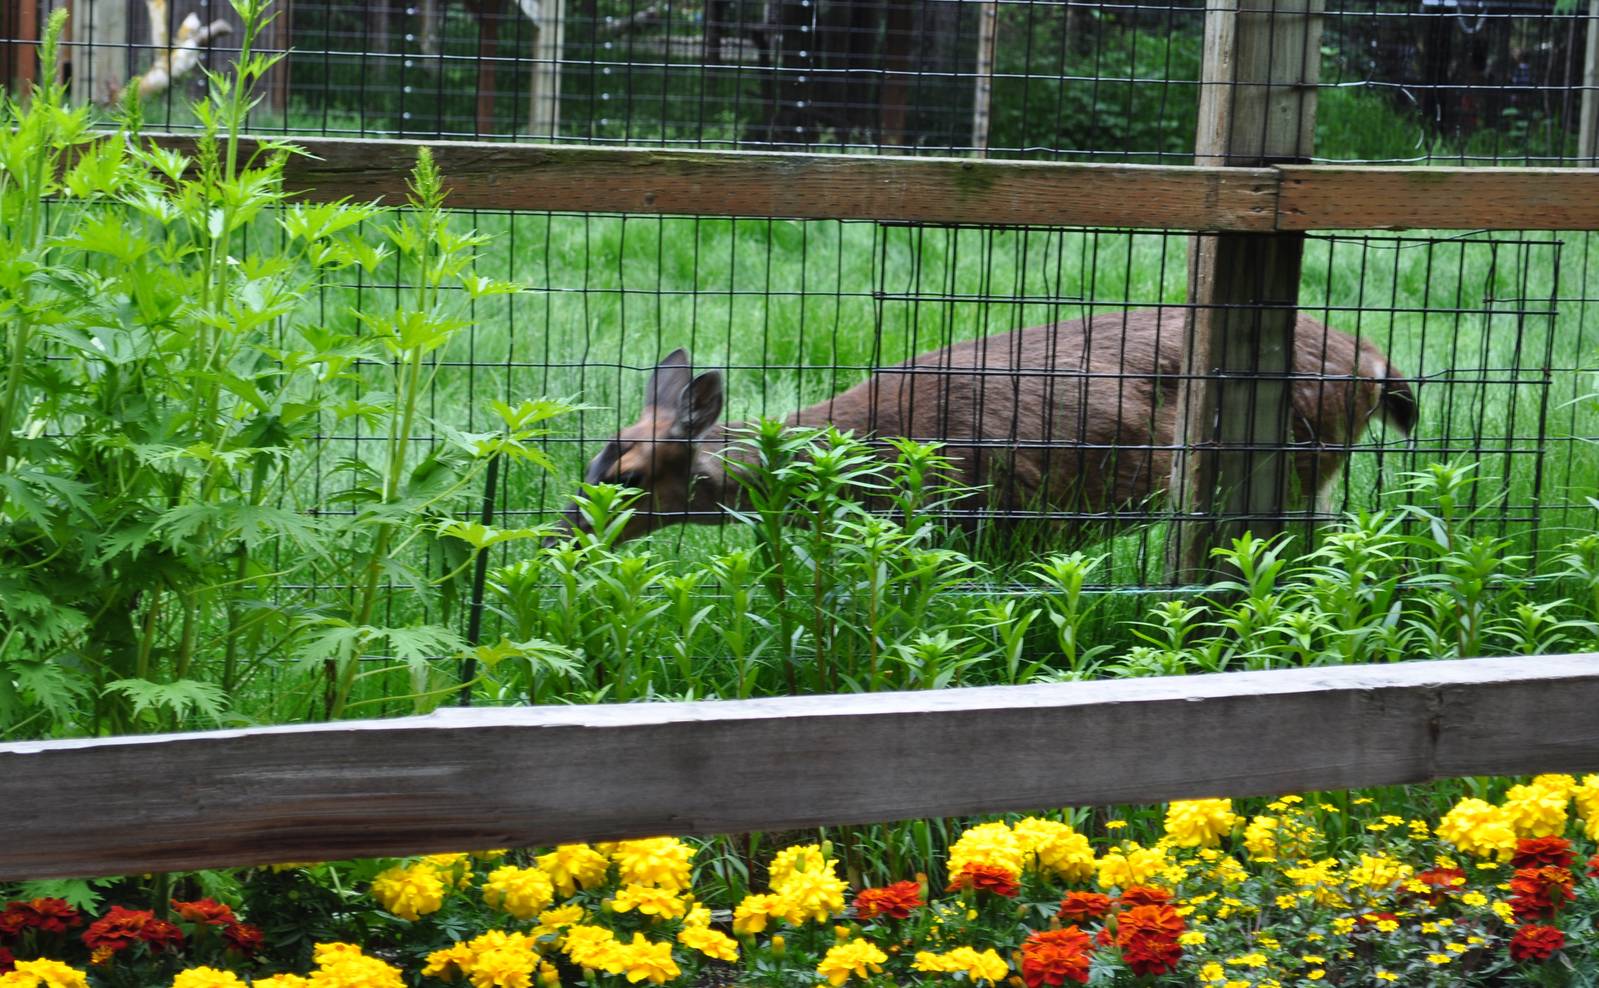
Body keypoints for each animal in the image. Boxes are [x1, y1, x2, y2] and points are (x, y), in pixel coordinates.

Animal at [558, 308, 1417, 545]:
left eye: (629, 477)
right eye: (593, 462)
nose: (565, 531)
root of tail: (1373, 360)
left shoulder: (977, 517)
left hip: (1291, 459)